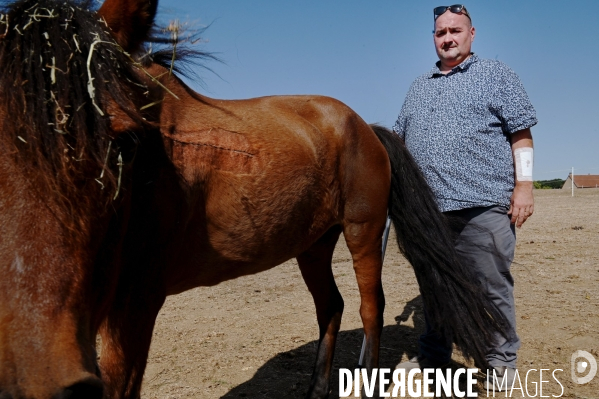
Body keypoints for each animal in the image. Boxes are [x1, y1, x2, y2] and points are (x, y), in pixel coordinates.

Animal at [0, 0, 508, 399]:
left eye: (122, 140)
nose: (36, 381)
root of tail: (365, 126)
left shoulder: (135, 305)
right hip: (313, 244)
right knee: (331, 306)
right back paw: (316, 389)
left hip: (362, 232)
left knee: (371, 308)